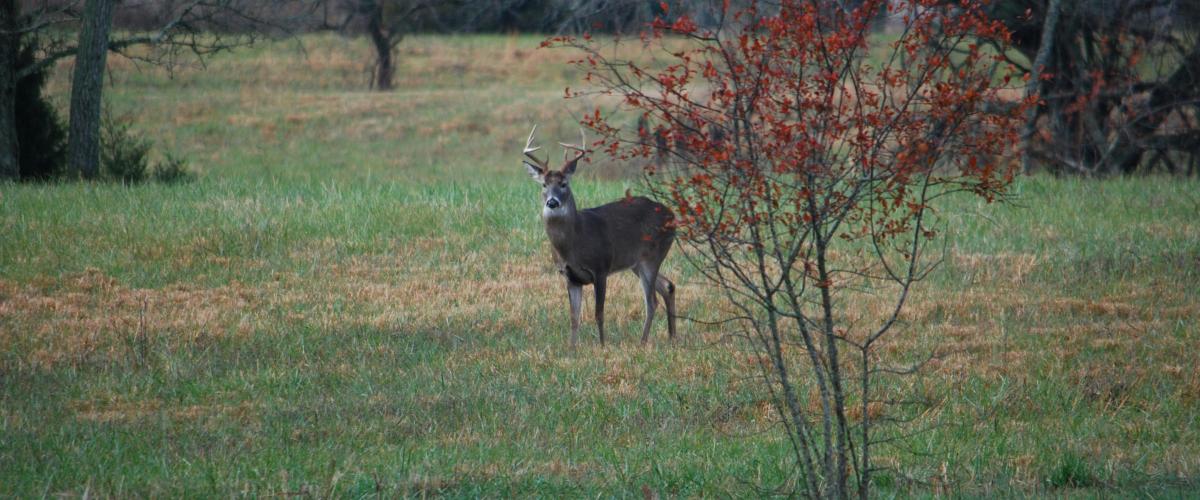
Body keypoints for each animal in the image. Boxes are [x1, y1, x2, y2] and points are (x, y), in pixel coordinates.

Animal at [521, 125, 678, 348]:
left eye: (564, 183)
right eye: (544, 185)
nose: (552, 202)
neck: (574, 243)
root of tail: (672, 215)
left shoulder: (601, 267)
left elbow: (599, 313)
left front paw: (602, 346)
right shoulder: (569, 276)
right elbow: (574, 316)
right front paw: (571, 349)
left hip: (652, 256)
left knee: (652, 301)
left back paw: (642, 341)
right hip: (636, 263)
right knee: (668, 286)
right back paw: (672, 337)